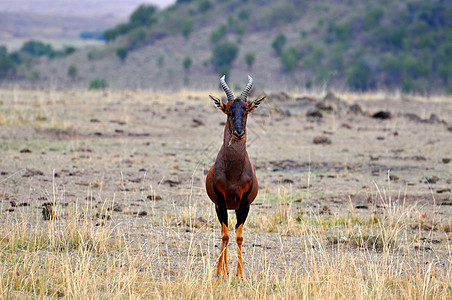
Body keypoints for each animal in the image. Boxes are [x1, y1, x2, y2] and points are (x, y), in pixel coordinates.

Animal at [206, 75, 264, 278]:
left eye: (245, 110)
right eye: (228, 110)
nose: (239, 132)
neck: (233, 174)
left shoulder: (245, 203)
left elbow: (239, 236)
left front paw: (241, 275)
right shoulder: (221, 201)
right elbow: (225, 235)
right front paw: (221, 272)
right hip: (220, 207)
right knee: (224, 234)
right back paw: (222, 270)